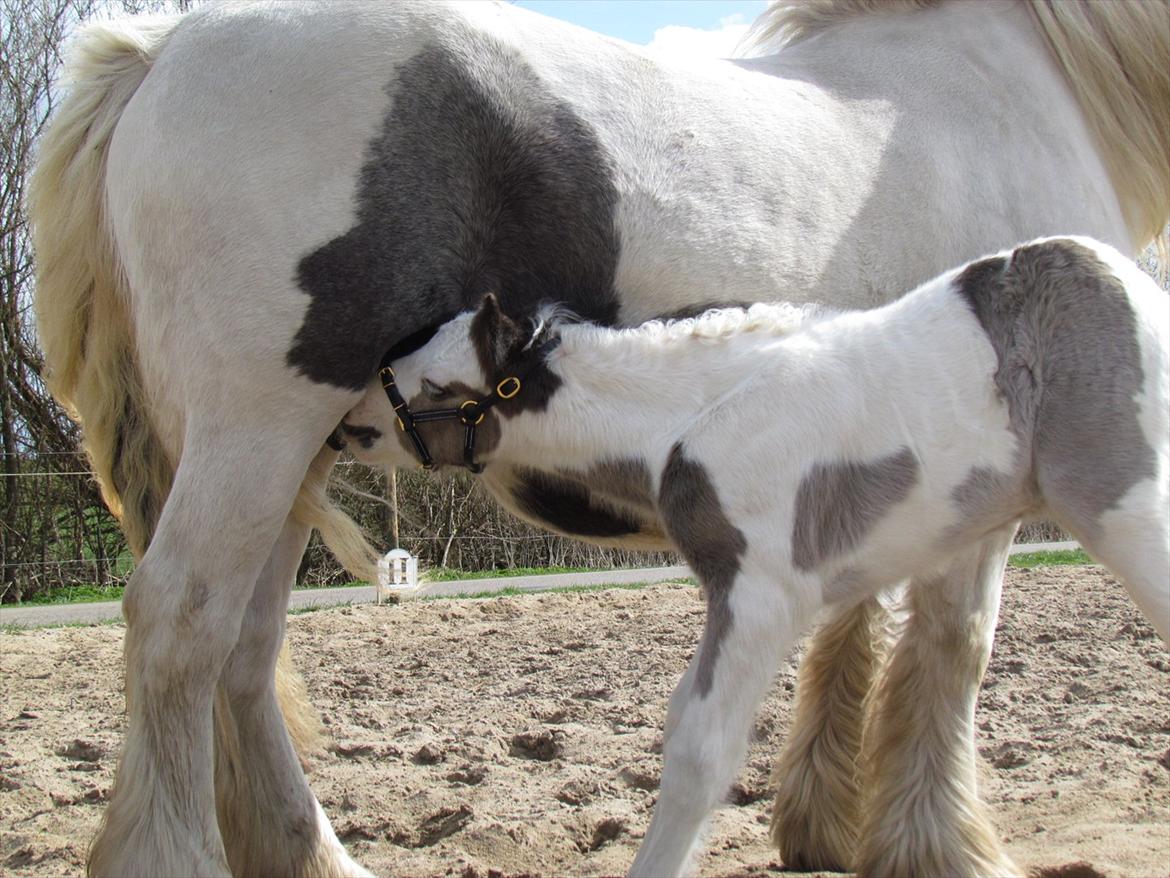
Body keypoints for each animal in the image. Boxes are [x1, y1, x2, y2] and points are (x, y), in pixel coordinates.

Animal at [346, 235, 1170, 878]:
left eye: (434, 384)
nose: (347, 427)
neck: (694, 415)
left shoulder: (760, 596)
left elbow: (701, 751)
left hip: (1128, 513)